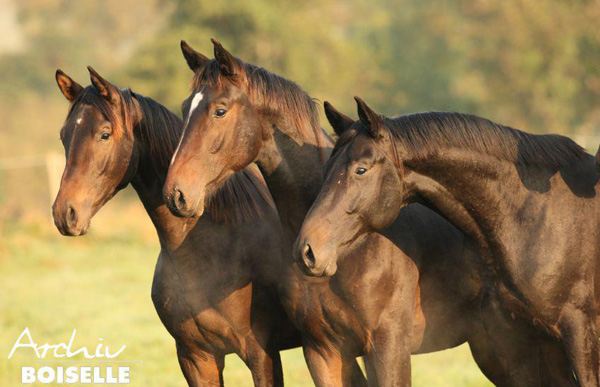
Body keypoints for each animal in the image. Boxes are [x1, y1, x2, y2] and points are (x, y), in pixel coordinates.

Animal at [159, 40, 564, 387]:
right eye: (184, 107)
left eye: (220, 110)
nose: (176, 193)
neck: (353, 249)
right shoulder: (322, 350)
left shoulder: (387, 349)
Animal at [296, 98, 600, 387]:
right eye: (327, 169)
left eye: (361, 169)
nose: (307, 250)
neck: (540, 216)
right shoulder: (528, 338)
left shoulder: (579, 331)